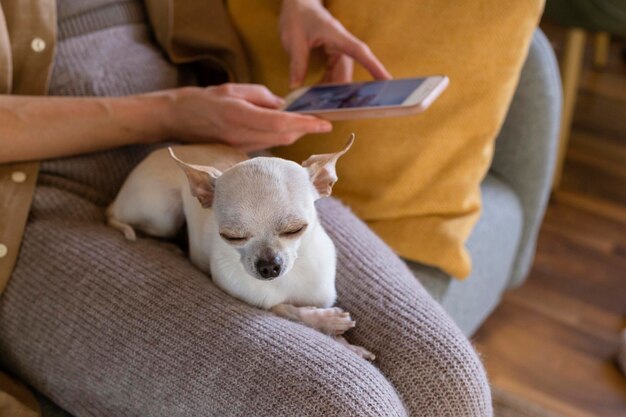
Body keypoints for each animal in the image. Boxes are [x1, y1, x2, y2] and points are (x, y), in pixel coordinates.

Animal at [106, 135, 376, 360]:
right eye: (232, 236)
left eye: (295, 229)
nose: (268, 266)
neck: (289, 278)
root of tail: (116, 201)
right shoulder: (257, 300)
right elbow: (286, 308)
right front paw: (328, 321)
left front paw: (346, 343)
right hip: (163, 215)